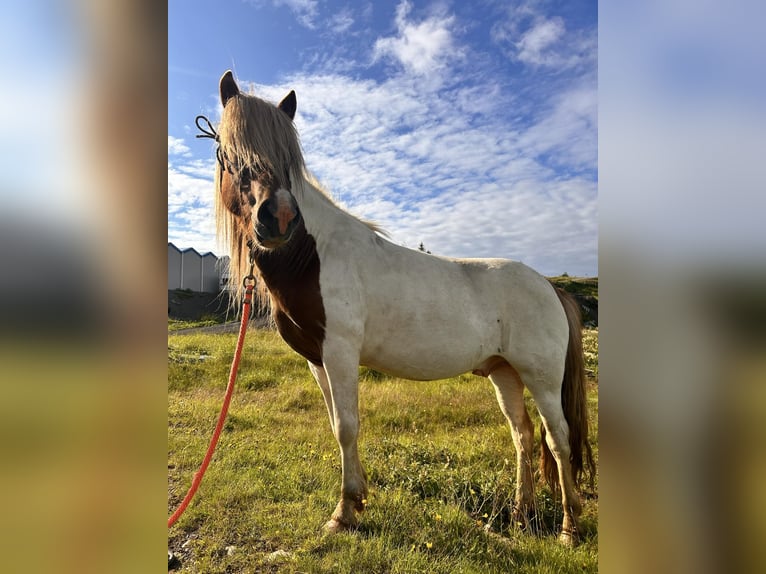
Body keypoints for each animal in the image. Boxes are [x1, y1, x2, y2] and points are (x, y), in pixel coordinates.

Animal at [208, 71, 592, 544]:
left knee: (558, 438)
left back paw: (569, 528)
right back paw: (521, 517)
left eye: (288, 158)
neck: (314, 255)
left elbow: (347, 426)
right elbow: (336, 424)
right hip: (505, 373)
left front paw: (344, 512)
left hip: (542, 378)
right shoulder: (318, 361)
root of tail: (550, 287)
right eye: (229, 152)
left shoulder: (340, 352)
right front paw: (354, 503)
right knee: (522, 434)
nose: (277, 218)